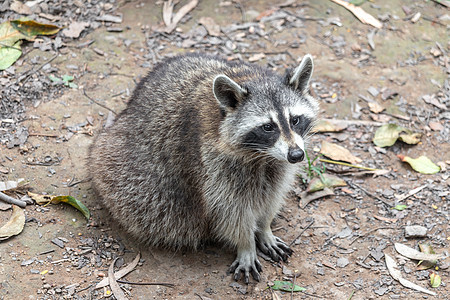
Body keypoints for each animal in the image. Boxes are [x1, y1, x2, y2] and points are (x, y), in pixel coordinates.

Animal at [88, 53, 318, 282]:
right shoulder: (211, 165)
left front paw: (264, 228)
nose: (296, 155)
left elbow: (272, 196)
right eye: (268, 127)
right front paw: (246, 244)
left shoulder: (277, 165)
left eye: (295, 120)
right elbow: (230, 211)